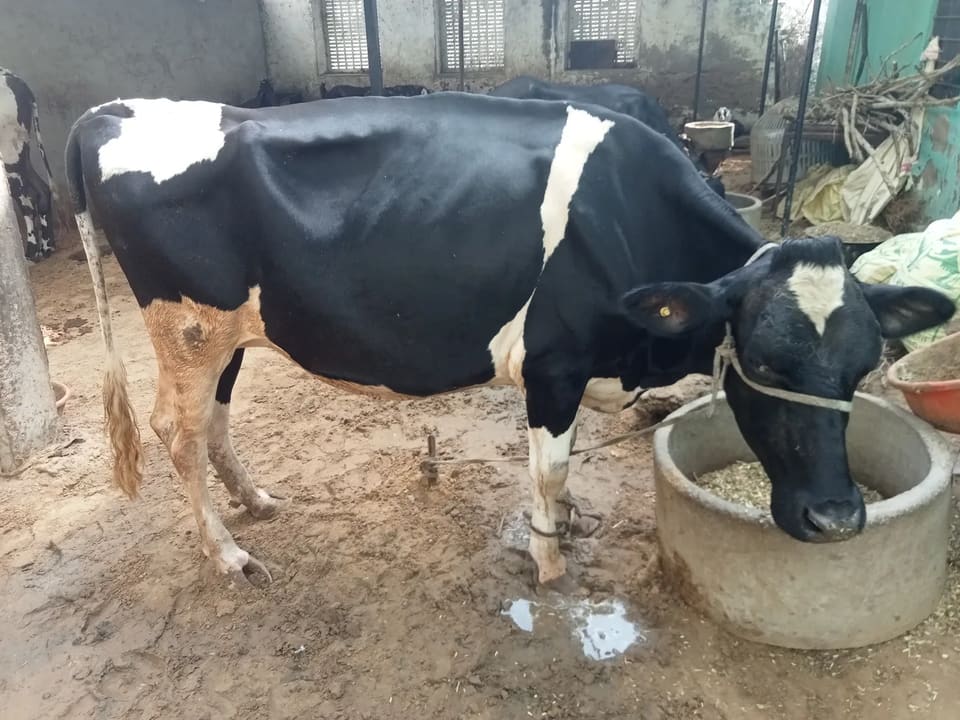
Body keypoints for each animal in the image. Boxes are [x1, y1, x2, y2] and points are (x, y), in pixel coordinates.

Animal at [1, 68, 56, 260]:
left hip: (10, 152)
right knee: (41, 189)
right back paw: (46, 247)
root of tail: (12, 76)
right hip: (21, 152)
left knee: (26, 199)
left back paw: (33, 251)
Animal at [65, 92, 953, 588]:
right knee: (176, 432)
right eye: (763, 360)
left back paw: (253, 502)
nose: (837, 519)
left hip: (228, 333)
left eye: (862, 366)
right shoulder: (555, 365)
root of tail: (117, 111)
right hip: (187, 325)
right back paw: (227, 556)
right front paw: (551, 562)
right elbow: (551, 472)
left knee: (213, 420)